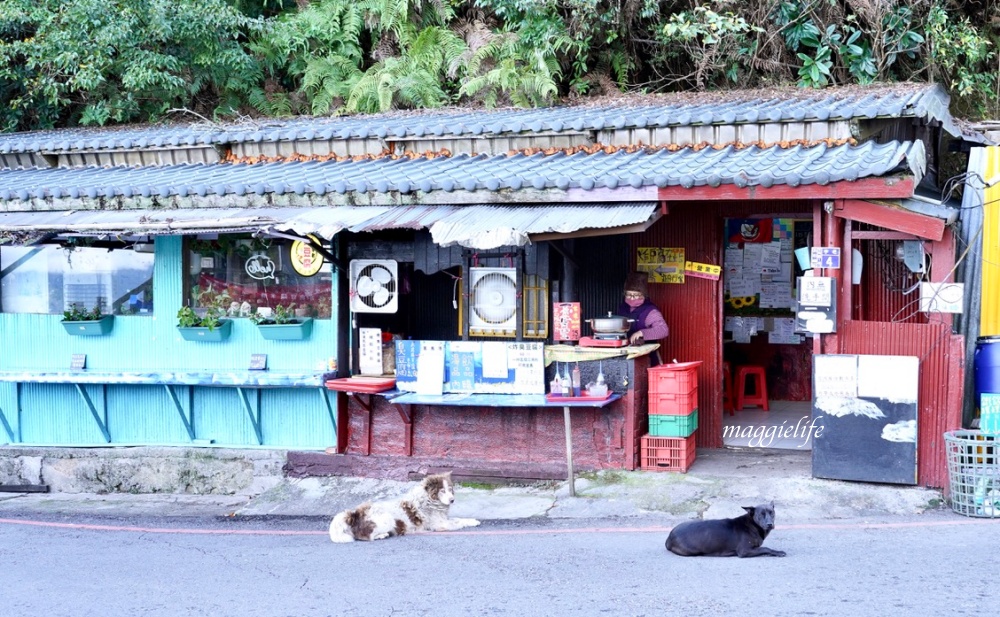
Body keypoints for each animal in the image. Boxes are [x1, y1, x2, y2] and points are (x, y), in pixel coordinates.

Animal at [328, 472, 480, 540]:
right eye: (442, 491)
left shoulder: (443, 519)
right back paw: (382, 535)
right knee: (366, 535)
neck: (429, 499)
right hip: (387, 519)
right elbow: (458, 522)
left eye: (450, 489)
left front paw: (474, 521)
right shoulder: (439, 524)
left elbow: (459, 519)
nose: (452, 500)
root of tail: (355, 514)